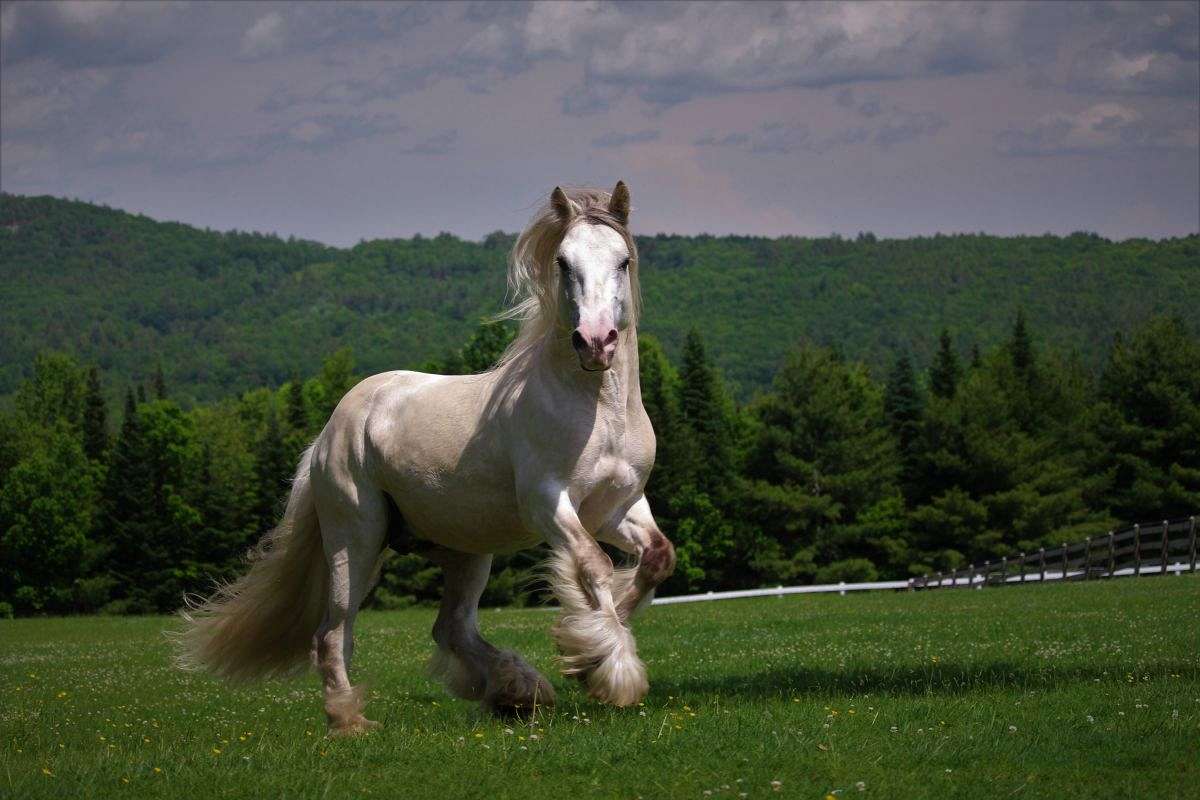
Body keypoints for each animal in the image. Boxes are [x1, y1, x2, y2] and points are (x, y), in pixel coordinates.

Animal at [176, 182, 677, 735]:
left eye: (623, 261)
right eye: (564, 263)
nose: (595, 342)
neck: (597, 411)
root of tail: (328, 434)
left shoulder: (617, 507)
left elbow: (657, 558)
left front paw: (594, 644)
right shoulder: (548, 503)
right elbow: (592, 564)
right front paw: (608, 667)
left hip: (465, 552)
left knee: (450, 629)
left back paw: (518, 692)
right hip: (356, 539)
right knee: (332, 633)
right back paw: (350, 719)